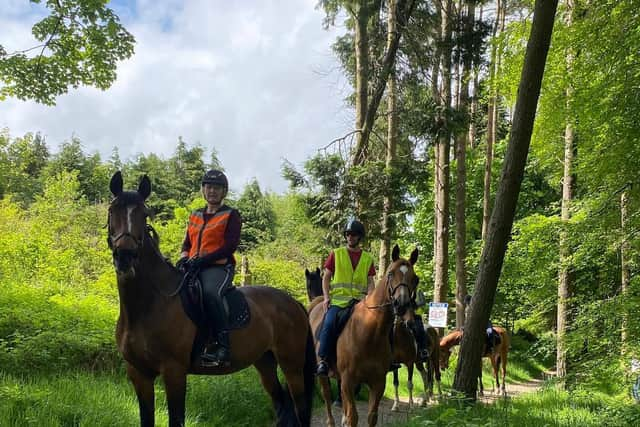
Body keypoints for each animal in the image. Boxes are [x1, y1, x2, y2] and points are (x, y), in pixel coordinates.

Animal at [109, 171, 316, 427]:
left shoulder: (174, 372)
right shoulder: (138, 374)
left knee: (301, 408)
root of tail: (293, 303)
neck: (148, 306)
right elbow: (146, 419)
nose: (125, 257)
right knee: (282, 404)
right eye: (112, 210)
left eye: (144, 214)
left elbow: (176, 419)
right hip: (265, 362)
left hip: (292, 365)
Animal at [308, 246, 420, 427]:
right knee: (327, 398)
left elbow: (371, 416)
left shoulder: (378, 382)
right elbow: (353, 417)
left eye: (415, 279)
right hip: (324, 375)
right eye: (390, 273)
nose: (401, 305)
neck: (369, 333)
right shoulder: (348, 380)